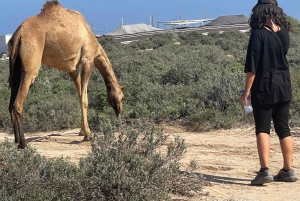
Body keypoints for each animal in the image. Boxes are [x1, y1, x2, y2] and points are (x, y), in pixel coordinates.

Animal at [7, 0, 124, 148]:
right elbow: (85, 98)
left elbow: (79, 96)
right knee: (17, 104)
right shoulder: (88, 60)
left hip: (14, 68)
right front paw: (87, 134)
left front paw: (81, 131)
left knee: (11, 103)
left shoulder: (72, 69)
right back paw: (23, 144)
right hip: (30, 67)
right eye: (123, 97)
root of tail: (18, 35)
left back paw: (16, 141)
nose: (120, 111)